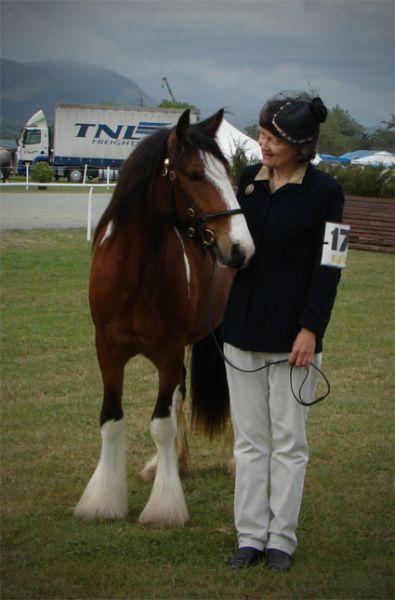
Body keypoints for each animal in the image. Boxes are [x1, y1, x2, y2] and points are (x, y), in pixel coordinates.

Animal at [73, 108, 255, 524]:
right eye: (193, 174)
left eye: (226, 171)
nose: (241, 247)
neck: (134, 274)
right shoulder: (107, 352)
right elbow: (112, 420)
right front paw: (102, 500)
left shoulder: (168, 352)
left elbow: (161, 425)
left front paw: (163, 506)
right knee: (178, 397)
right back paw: (174, 463)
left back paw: (232, 461)